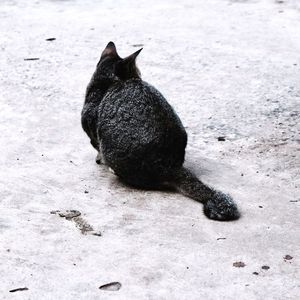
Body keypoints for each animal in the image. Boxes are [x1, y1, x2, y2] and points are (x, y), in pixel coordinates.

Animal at [81, 41, 239, 220]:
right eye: (138, 73)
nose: (140, 77)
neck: (108, 82)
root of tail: (170, 165)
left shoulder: (91, 128)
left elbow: (95, 146)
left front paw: (98, 158)